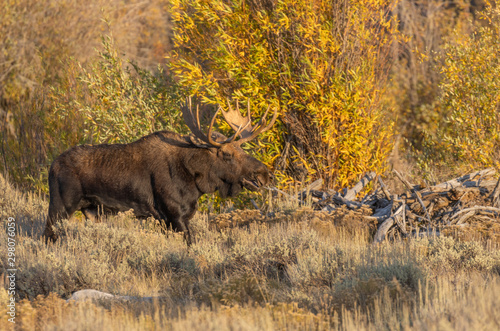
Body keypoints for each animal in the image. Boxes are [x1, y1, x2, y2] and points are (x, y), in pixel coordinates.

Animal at [43, 97, 278, 245]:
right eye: (227, 154)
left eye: (242, 149)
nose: (264, 174)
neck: (195, 180)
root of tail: (51, 166)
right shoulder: (174, 215)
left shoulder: (168, 219)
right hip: (60, 206)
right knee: (47, 235)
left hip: (92, 211)